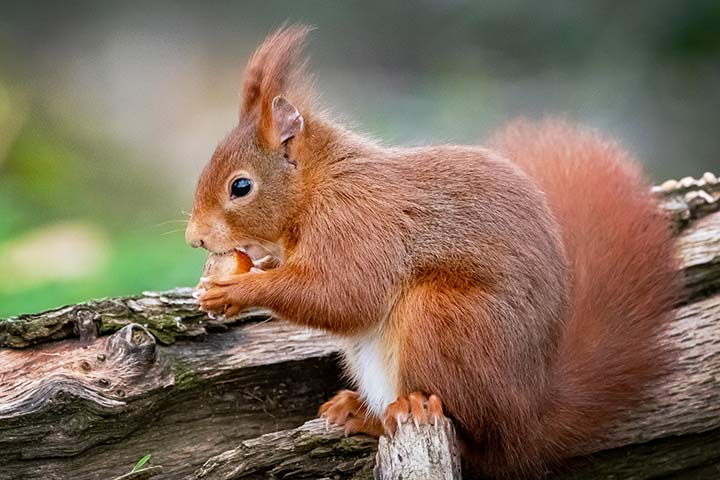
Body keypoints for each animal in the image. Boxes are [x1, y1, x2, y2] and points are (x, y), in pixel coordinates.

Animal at [186, 25, 681, 478]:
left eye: (241, 187)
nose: (195, 238)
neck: (316, 186)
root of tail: (531, 419)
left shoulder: (359, 224)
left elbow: (345, 295)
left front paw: (238, 288)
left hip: (443, 318)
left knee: (477, 441)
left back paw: (417, 410)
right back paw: (359, 411)